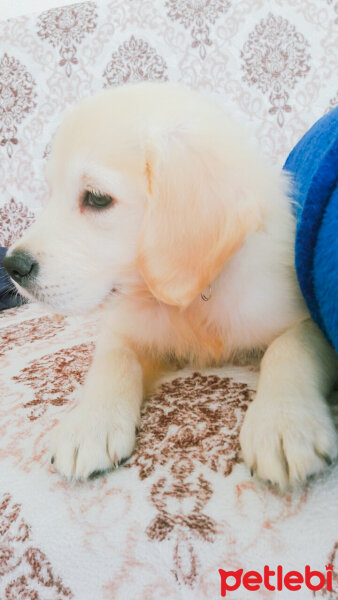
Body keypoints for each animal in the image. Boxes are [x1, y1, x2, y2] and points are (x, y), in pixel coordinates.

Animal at [3, 83, 338, 488]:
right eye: (50, 191)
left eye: (97, 198)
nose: (12, 266)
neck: (190, 302)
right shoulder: (124, 327)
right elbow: (113, 360)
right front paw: (90, 424)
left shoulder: (305, 316)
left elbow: (289, 349)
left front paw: (284, 423)